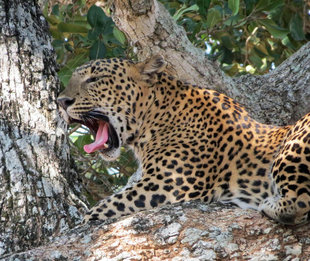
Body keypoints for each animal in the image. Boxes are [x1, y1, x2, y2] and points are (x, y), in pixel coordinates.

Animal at [57, 54, 310, 223]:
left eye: (94, 79)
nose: (61, 101)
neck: (155, 117)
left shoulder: (166, 184)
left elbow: (104, 207)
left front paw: (83, 220)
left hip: (291, 146)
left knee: (301, 201)